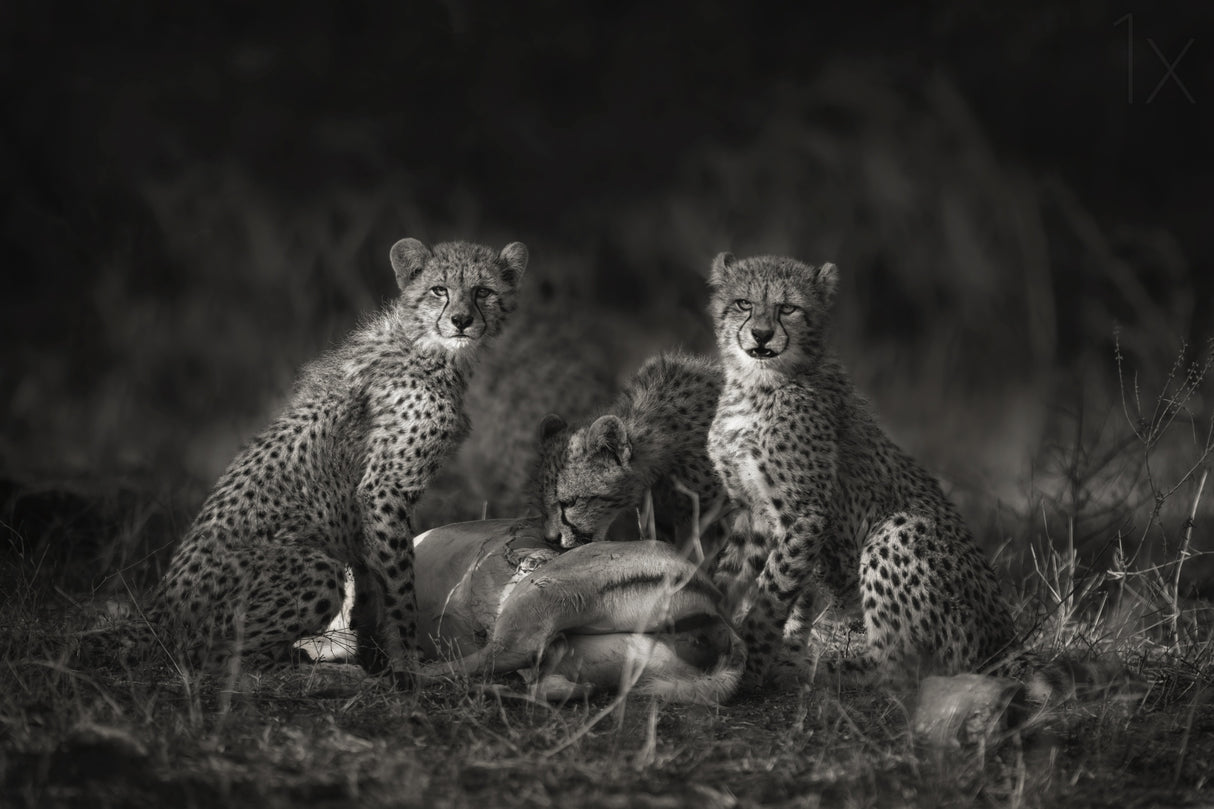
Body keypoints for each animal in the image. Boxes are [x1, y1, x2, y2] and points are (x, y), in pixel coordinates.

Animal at [143, 237, 528, 688]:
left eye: (483, 291)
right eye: (440, 290)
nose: (462, 320)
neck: (430, 347)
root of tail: (160, 612)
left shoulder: (365, 510)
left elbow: (370, 581)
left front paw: (376, 655)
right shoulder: (384, 488)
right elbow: (399, 583)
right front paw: (408, 661)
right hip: (314, 570)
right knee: (217, 659)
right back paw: (318, 671)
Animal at [704, 251, 1016, 692]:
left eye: (788, 308)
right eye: (744, 303)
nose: (762, 335)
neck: (757, 384)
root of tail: (1003, 640)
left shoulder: (806, 512)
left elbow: (772, 590)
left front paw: (750, 667)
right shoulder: (753, 511)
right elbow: (730, 577)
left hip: (898, 530)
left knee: (901, 668)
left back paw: (817, 670)